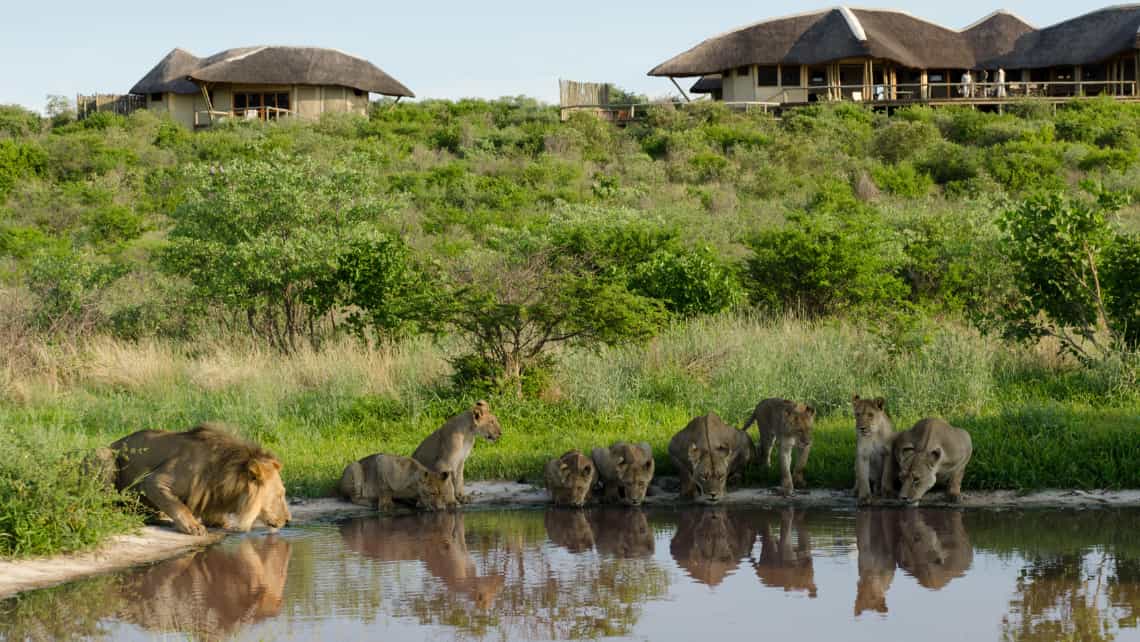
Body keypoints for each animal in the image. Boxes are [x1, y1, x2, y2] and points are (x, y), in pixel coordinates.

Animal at [94, 424, 291, 535]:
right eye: (280, 495)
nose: (288, 521)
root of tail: (113, 443)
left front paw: (219, 522)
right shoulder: (154, 481)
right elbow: (178, 506)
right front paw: (193, 527)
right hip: (103, 454)